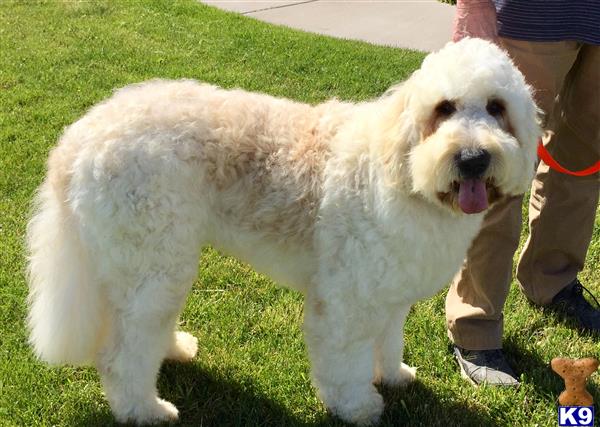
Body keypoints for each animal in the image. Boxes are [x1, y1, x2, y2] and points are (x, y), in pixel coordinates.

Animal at [27, 38, 540, 426]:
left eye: (497, 108)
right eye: (444, 108)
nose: (472, 158)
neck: (404, 170)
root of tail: (78, 136)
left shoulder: (391, 294)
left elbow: (389, 340)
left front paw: (394, 376)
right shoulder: (347, 301)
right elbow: (345, 360)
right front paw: (358, 406)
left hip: (153, 265)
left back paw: (174, 351)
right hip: (154, 261)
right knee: (121, 353)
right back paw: (146, 411)